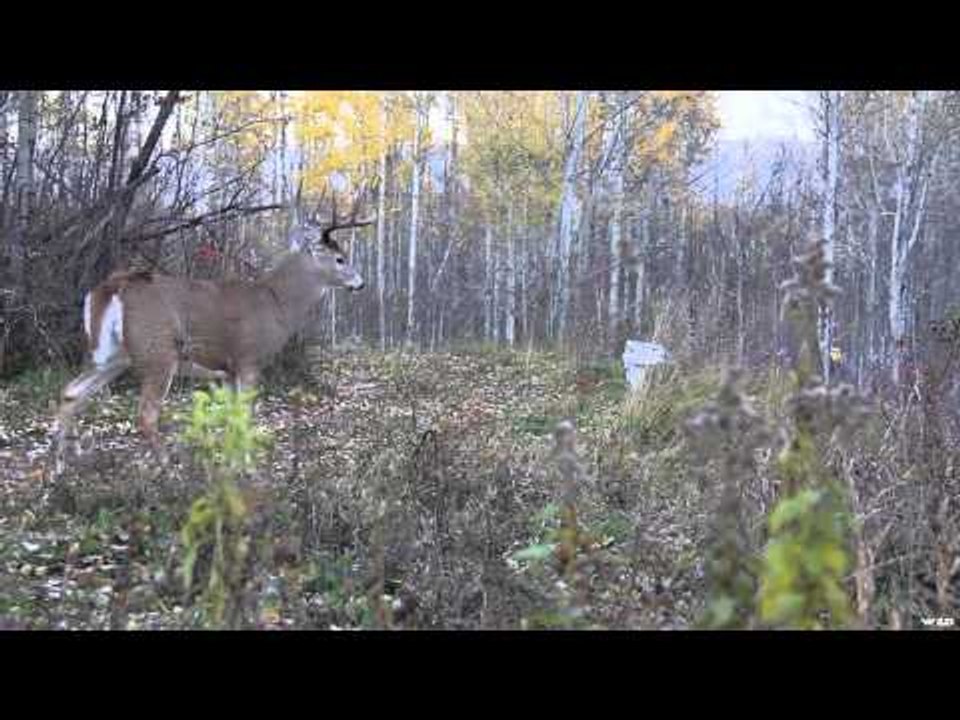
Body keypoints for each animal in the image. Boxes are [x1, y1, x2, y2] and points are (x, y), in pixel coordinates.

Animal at [53, 198, 373, 458]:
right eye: (340, 258)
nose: (360, 283)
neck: (277, 302)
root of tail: (112, 286)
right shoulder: (248, 358)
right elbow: (245, 417)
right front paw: (246, 467)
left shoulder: (228, 372)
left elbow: (232, 419)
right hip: (158, 351)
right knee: (146, 414)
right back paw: (166, 470)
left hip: (111, 353)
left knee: (71, 392)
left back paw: (62, 468)